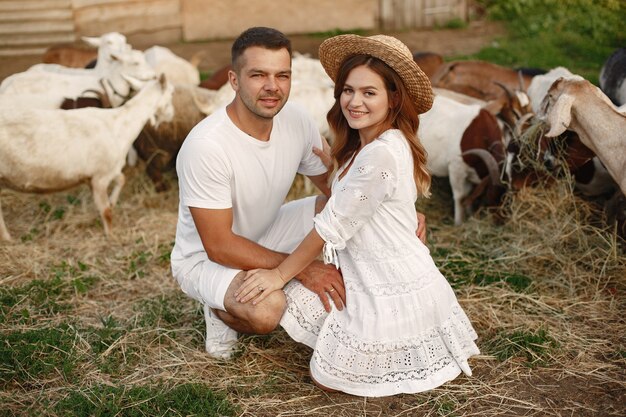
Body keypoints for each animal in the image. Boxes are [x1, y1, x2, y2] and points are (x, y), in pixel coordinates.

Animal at [0, 73, 173, 239]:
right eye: (171, 94)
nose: (172, 115)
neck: (119, 124)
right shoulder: (100, 178)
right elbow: (106, 212)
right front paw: (111, 236)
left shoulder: (105, 172)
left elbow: (122, 180)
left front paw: (113, 201)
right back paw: (7, 238)